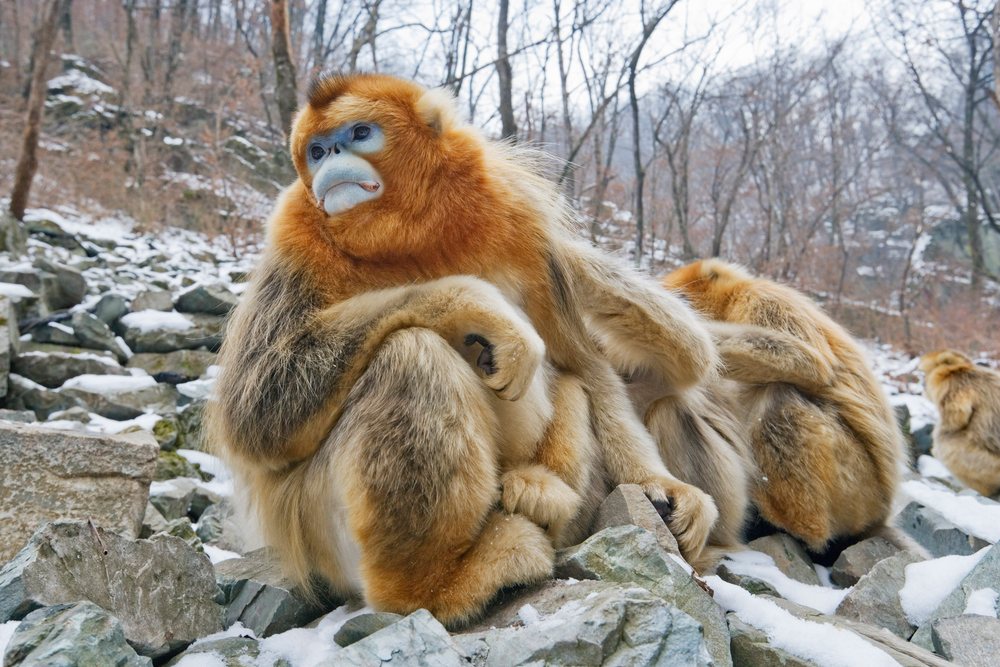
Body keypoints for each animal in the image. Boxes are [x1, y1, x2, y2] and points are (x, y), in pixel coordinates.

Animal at [208, 73, 726, 626]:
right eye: (317, 150)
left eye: (359, 133)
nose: (330, 160)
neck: (411, 236)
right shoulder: (294, 230)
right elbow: (255, 410)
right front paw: (472, 303)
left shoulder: (522, 222)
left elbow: (585, 365)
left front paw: (657, 485)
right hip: (312, 527)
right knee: (411, 355)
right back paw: (435, 587)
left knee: (567, 382)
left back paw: (542, 498)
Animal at [663, 259, 907, 557]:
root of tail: (880, 513)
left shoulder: (762, 300)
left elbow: (809, 363)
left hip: (856, 487)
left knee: (779, 399)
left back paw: (797, 527)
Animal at [920, 349, 1000, 496]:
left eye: (925, 374)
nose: (923, 384)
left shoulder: (955, 385)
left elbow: (957, 417)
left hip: (986, 464)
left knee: (947, 446)